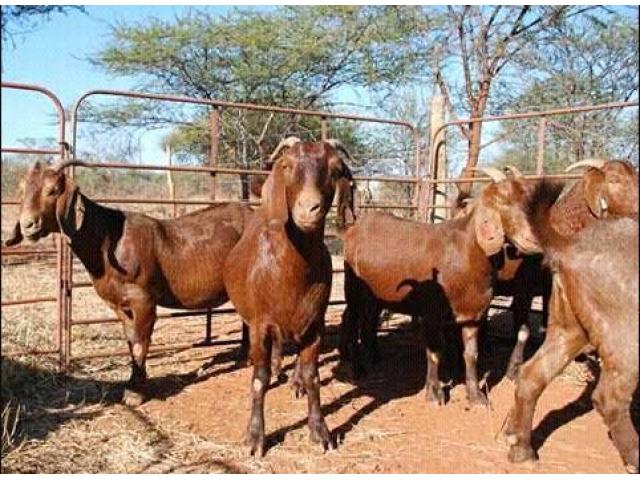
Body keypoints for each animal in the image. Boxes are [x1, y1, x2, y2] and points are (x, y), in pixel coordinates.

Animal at [222, 136, 356, 458]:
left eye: (335, 169)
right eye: (287, 165)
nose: (309, 208)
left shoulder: (315, 324)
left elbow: (313, 376)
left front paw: (320, 431)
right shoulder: (260, 324)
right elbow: (258, 380)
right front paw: (255, 437)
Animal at [340, 168, 540, 404]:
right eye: (505, 203)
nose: (535, 238)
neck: (465, 253)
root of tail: (353, 228)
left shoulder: (473, 315)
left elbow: (471, 354)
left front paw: (476, 395)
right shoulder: (432, 313)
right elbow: (435, 352)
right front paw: (434, 393)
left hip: (376, 296)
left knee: (367, 320)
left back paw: (374, 358)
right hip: (353, 289)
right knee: (352, 322)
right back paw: (358, 368)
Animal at [504, 179, 640, 472]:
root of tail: (570, 245)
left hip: (569, 329)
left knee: (532, 374)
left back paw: (522, 450)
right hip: (625, 339)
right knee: (610, 398)